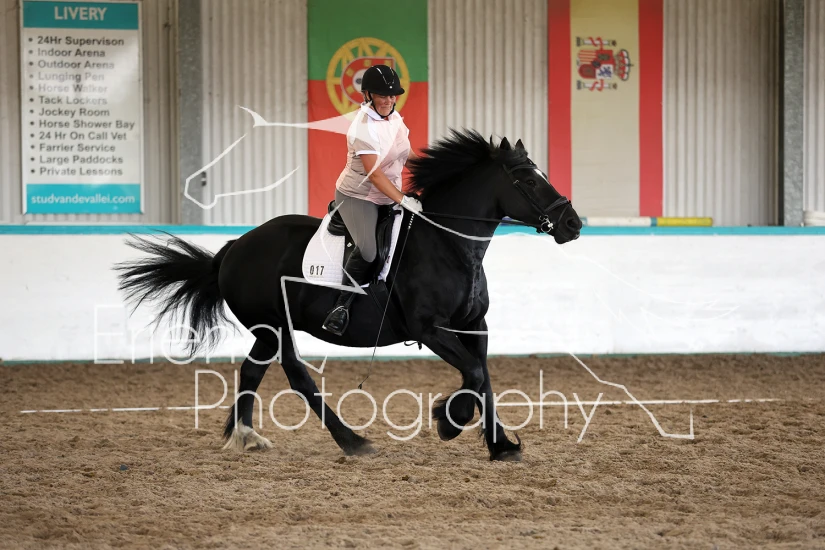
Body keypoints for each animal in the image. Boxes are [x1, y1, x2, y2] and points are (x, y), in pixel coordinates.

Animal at [115, 129, 582, 461]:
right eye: (526, 179)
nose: (572, 224)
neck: (448, 245)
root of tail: (234, 247)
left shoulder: (474, 325)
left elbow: (482, 376)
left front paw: (500, 445)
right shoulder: (429, 328)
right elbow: (472, 372)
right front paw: (450, 423)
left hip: (266, 330)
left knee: (251, 371)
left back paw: (246, 437)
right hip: (277, 325)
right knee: (297, 376)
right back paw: (352, 442)